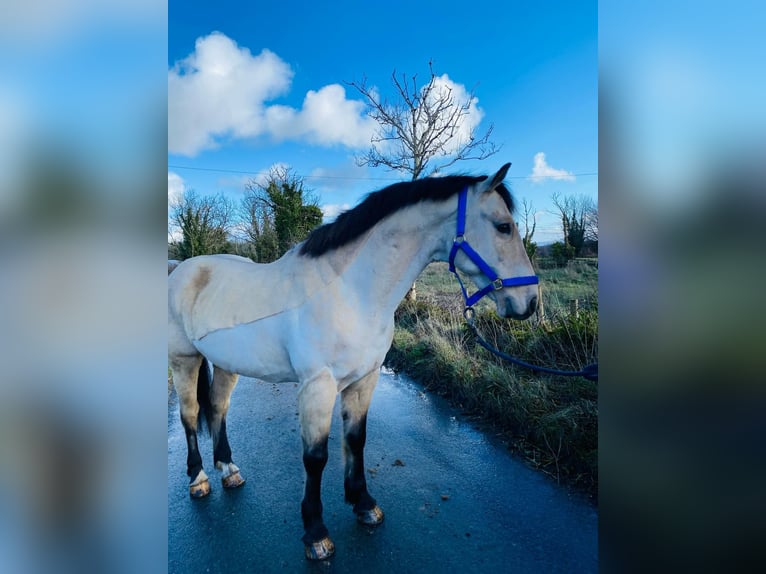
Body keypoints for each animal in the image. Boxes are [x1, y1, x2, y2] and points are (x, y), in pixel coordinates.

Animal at [168, 163, 540, 564]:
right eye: (503, 226)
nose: (530, 302)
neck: (351, 292)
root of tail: (182, 270)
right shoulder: (318, 386)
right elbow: (315, 457)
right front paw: (316, 533)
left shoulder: (365, 378)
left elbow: (356, 440)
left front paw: (364, 504)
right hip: (184, 360)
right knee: (190, 415)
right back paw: (199, 479)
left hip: (226, 363)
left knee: (218, 407)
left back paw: (229, 470)